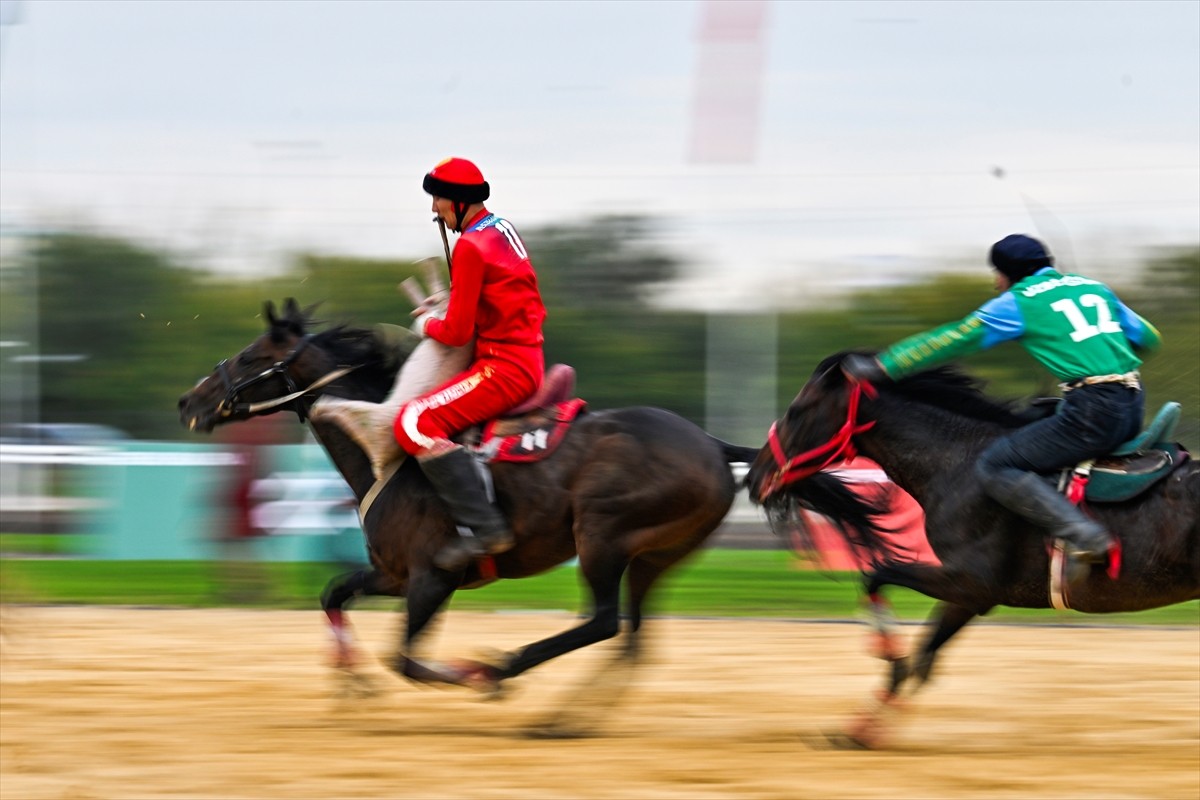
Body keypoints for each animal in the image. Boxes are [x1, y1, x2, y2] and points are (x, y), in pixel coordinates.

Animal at [176, 297, 758, 714]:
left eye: (253, 357)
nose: (190, 401)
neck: (384, 452)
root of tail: (713, 444)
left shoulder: (433, 576)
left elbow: (405, 659)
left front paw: (476, 676)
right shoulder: (394, 574)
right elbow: (334, 595)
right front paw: (353, 682)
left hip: (603, 538)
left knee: (604, 623)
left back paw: (511, 673)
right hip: (653, 558)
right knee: (632, 638)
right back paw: (567, 719)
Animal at [744, 352, 1195, 748]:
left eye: (798, 410)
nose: (754, 475)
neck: (959, 463)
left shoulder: (970, 582)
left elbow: (876, 578)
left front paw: (886, 658)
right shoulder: (966, 596)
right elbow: (925, 655)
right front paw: (864, 728)